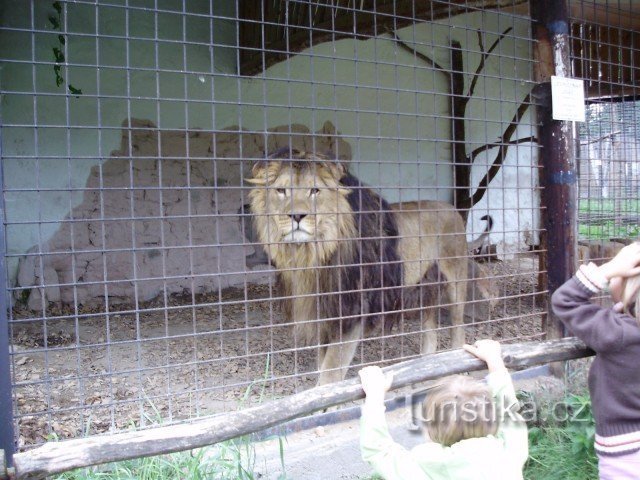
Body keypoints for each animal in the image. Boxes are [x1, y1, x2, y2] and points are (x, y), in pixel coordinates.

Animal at [249, 148, 470, 384]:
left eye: (314, 190)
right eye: (281, 191)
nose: (296, 216)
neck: (312, 256)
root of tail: (451, 208)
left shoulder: (351, 312)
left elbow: (330, 372)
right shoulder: (325, 314)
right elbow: (323, 365)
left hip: (456, 281)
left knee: (458, 326)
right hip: (425, 286)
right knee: (430, 327)